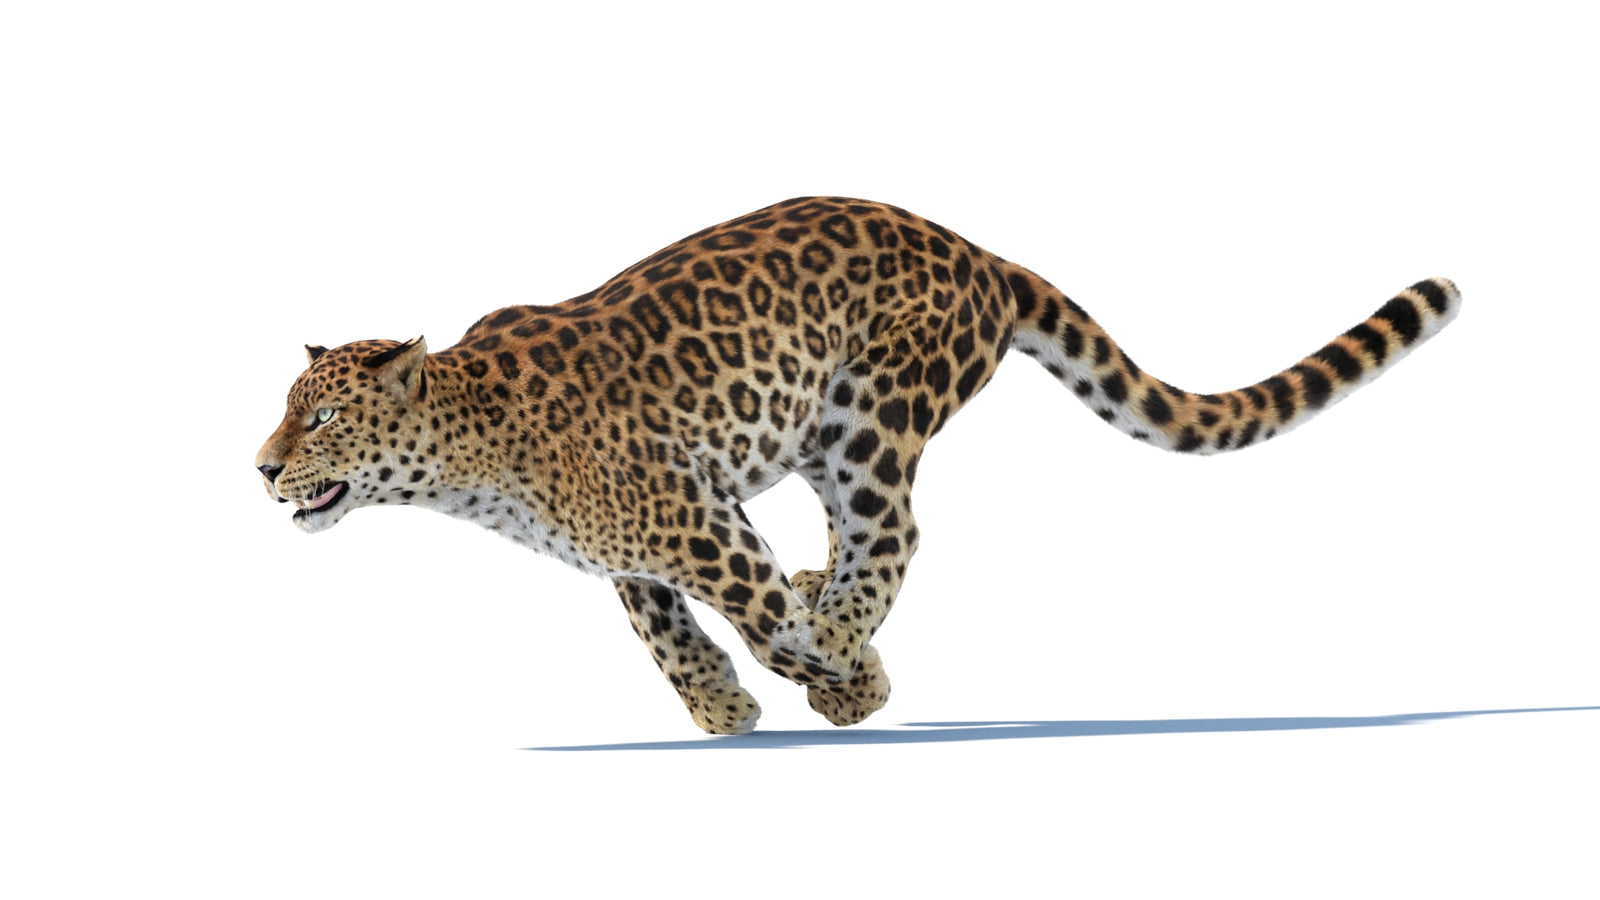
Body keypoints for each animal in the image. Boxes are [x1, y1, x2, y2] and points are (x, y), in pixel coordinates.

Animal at [256, 197, 1460, 735]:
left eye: (322, 418)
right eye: (288, 414)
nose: (260, 468)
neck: (469, 458)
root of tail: (977, 251)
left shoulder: (690, 516)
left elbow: (749, 608)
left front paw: (842, 675)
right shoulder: (645, 547)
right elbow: (673, 630)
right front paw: (731, 707)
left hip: (871, 412)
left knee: (894, 533)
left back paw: (839, 636)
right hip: (828, 438)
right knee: (852, 542)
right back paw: (827, 613)